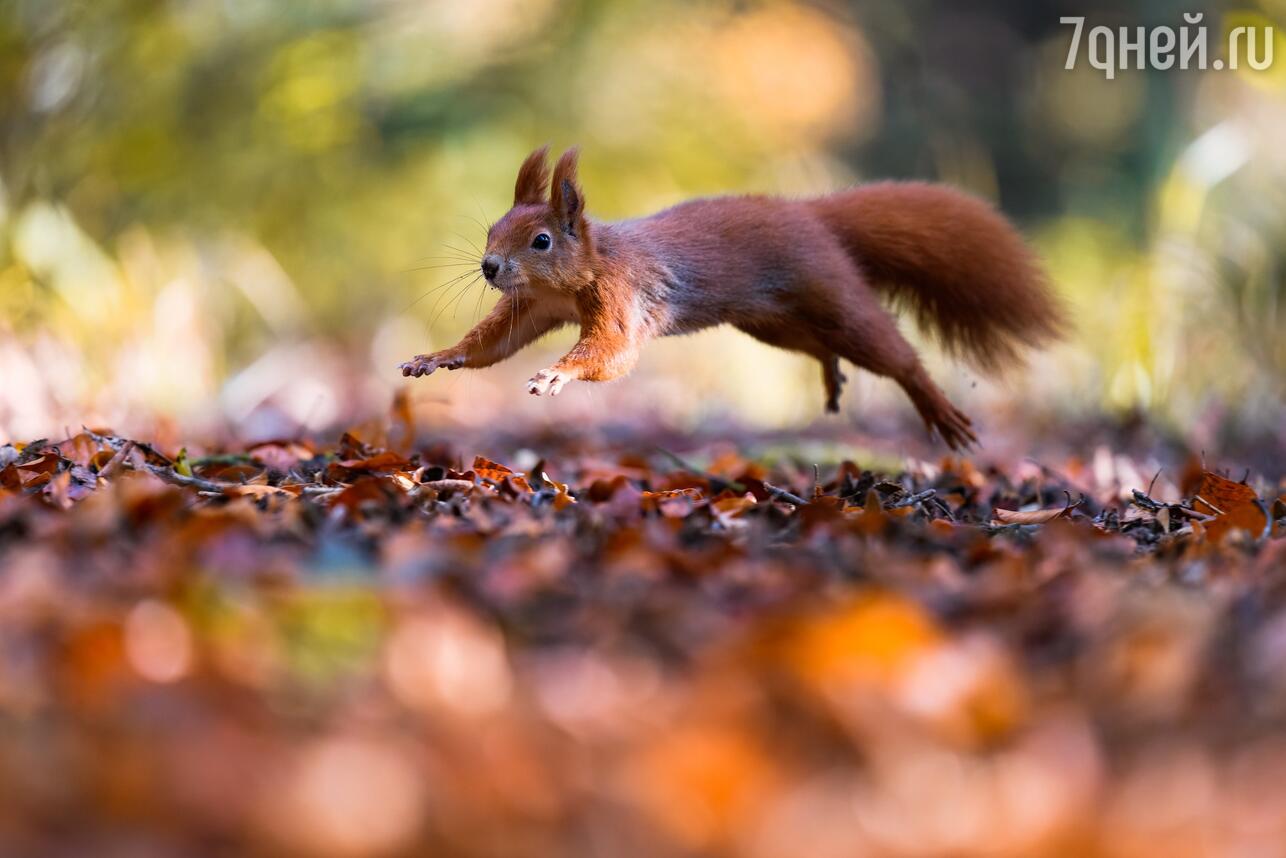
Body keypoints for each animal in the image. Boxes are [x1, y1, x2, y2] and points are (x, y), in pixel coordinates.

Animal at [398, 146, 1064, 450]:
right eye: (491, 231)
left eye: (540, 240)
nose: (489, 267)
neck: (582, 269)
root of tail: (811, 217)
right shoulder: (535, 306)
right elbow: (492, 344)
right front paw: (437, 358)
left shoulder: (621, 296)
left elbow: (612, 353)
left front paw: (556, 374)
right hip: (772, 322)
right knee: (817, 345)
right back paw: (831, 376)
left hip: (833, 294)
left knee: (892, 353)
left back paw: (936, 408)